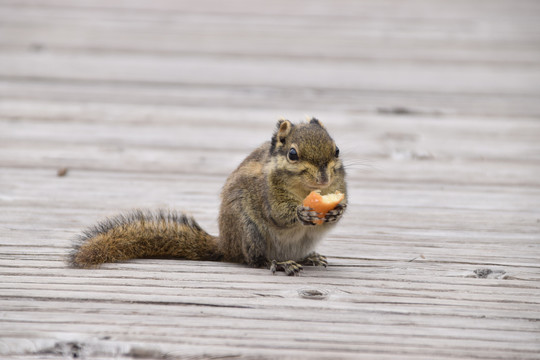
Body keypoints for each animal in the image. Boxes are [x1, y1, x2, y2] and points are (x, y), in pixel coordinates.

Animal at [68, 118, 346, 276]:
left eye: (336, 150)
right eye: (292, 154)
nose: (323, 178)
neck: (305, 190)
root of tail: (226, 245)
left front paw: (337, 210)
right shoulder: (266, 193)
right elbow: (278, 213)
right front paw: (302, 212)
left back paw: (309, 258)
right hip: (249, 231)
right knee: (254, 260)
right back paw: (279, 263)